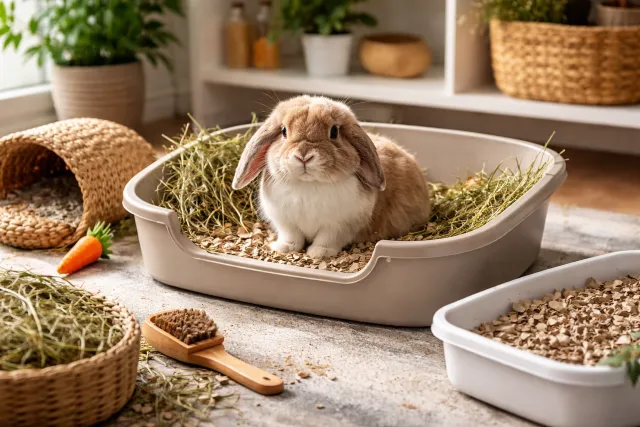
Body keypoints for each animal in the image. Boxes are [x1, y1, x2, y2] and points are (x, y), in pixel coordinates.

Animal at [232, 95, 431, 259]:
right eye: (283, 131)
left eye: (334, 132)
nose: (303, 156)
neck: (308, 185)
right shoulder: (285, 222)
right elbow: (292, 237)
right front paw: (284, 248)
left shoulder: (339, 226)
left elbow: (327, 239)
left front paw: (318, 253)